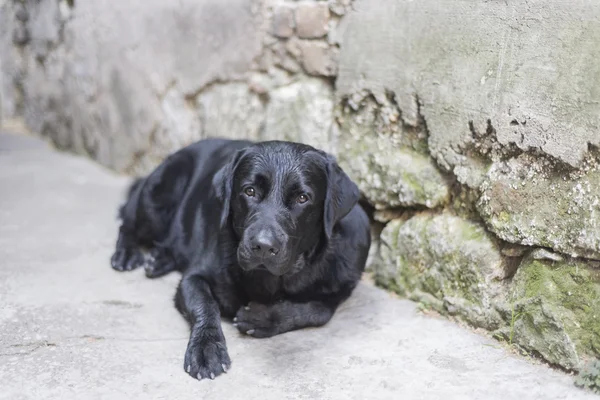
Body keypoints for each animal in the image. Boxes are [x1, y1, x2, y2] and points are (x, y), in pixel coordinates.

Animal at [109, 139, 370, 380]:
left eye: (303, 198)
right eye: (249, 191)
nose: (263, 246)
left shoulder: (341, 286)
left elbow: (318, 311)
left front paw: (262, 317)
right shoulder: (194, 278)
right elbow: (205, 305)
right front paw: (206, 348)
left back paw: (160, 258)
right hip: (157, 197)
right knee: (127, 224)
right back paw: (127, 254)